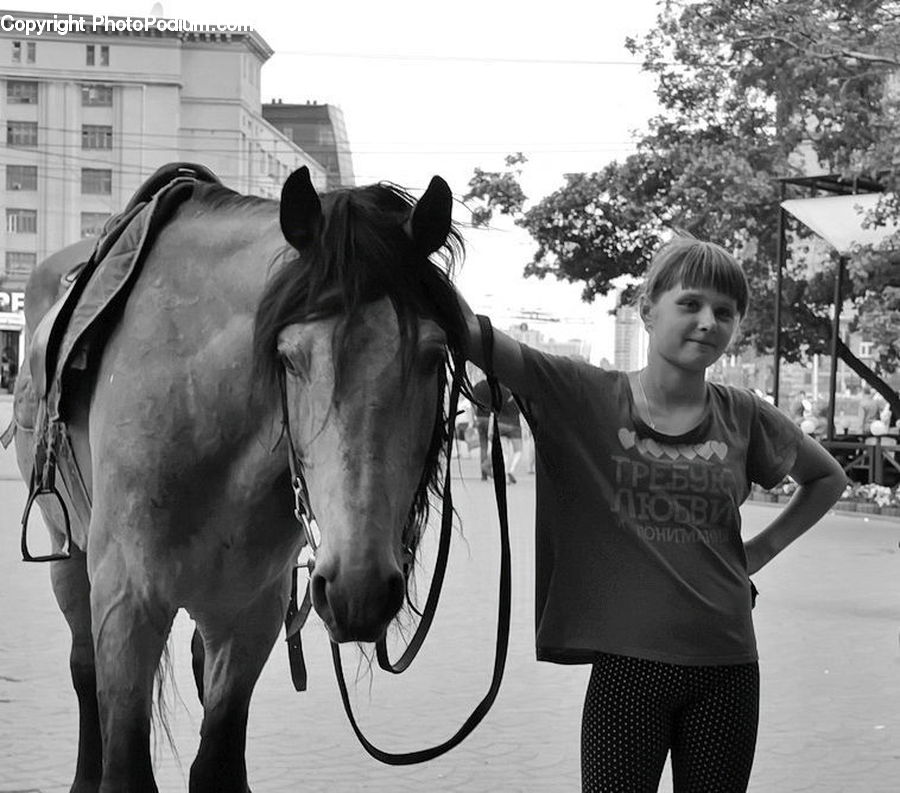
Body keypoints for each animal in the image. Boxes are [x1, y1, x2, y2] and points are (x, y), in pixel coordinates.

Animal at [11, 165, 468, 792]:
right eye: (291, 357)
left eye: (431, 354)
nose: (360, 591)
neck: (200, 404)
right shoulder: (126, 603)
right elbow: (124, 760)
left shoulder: (251, 612)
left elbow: (218, 762)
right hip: (67, 549)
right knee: (82, 668)